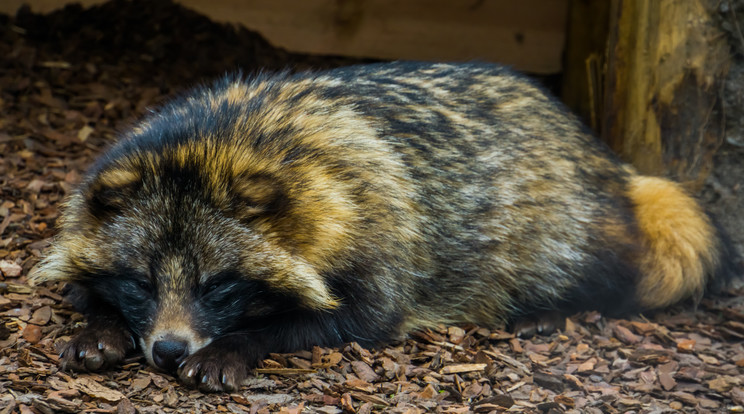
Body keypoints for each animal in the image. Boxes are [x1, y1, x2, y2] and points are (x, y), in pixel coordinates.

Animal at [32, 61, 740, 392]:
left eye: (217, 286)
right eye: (142, 283)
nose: (169, 351)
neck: (214, 140)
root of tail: (610, 163)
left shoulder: (381, 240)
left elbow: (346, 319)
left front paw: (237, 343)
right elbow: (85, 292)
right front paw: (101, 323)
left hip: (567, 224)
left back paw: (553, 305)